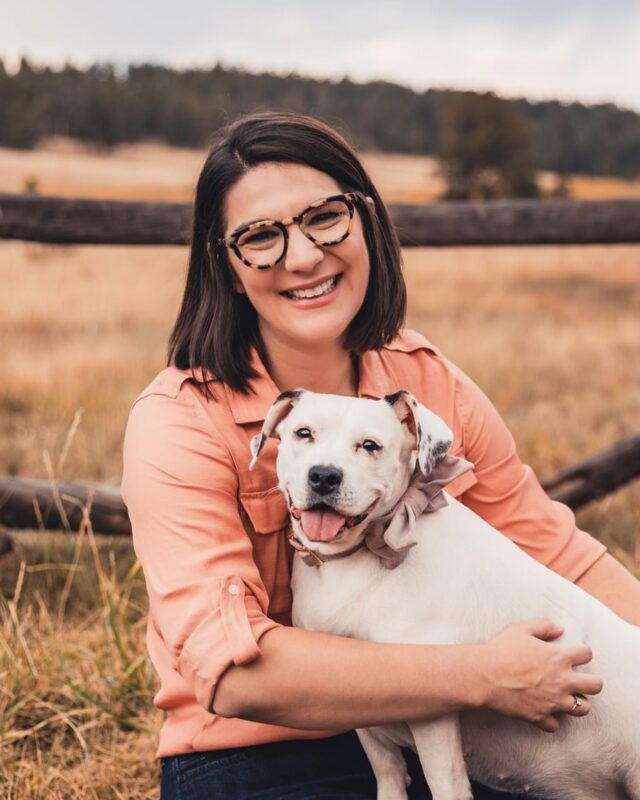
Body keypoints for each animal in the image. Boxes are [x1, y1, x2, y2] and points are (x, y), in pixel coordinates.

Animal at [249, 390, 640, 800]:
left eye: (370, 445)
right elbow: (387, 773)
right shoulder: (358, 713)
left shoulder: (434, 714)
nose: (324, 475)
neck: (357, 556)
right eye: (303, 433)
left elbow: (445, 784)